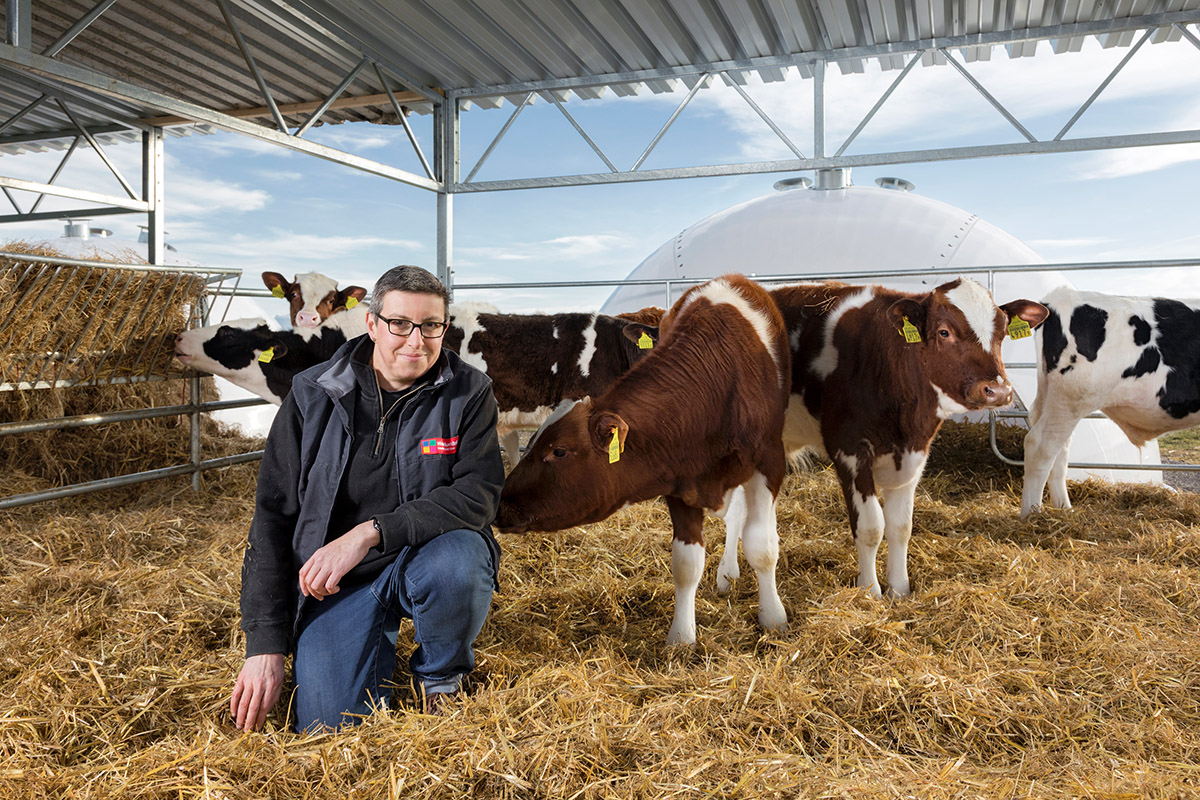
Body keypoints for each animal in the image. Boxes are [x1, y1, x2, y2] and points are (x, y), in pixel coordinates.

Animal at [499, 275, 796, 642]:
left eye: (559, 451)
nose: (500, 504)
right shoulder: (679, 477)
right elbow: (686, 563)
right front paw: (682, 637)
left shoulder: (769, 463)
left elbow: (762, 545)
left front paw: (773, 617)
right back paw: (726, 574)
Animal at [715, 281, 1046, 599]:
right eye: (944, 331)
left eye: (1002, 332)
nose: (998, 391)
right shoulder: (850, 450)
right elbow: (871, 526)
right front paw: (871, 591)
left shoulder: (915, 453)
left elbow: (901, 526)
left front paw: (899, 590)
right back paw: (726, 576)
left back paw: (730, 575)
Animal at [1022, 287, 1200, 520]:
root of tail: (1058, 297)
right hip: (1070, 400)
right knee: (1040, 446)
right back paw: (1031, 515)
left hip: (1055, 399)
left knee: (1059, 448)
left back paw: (1064, 509)